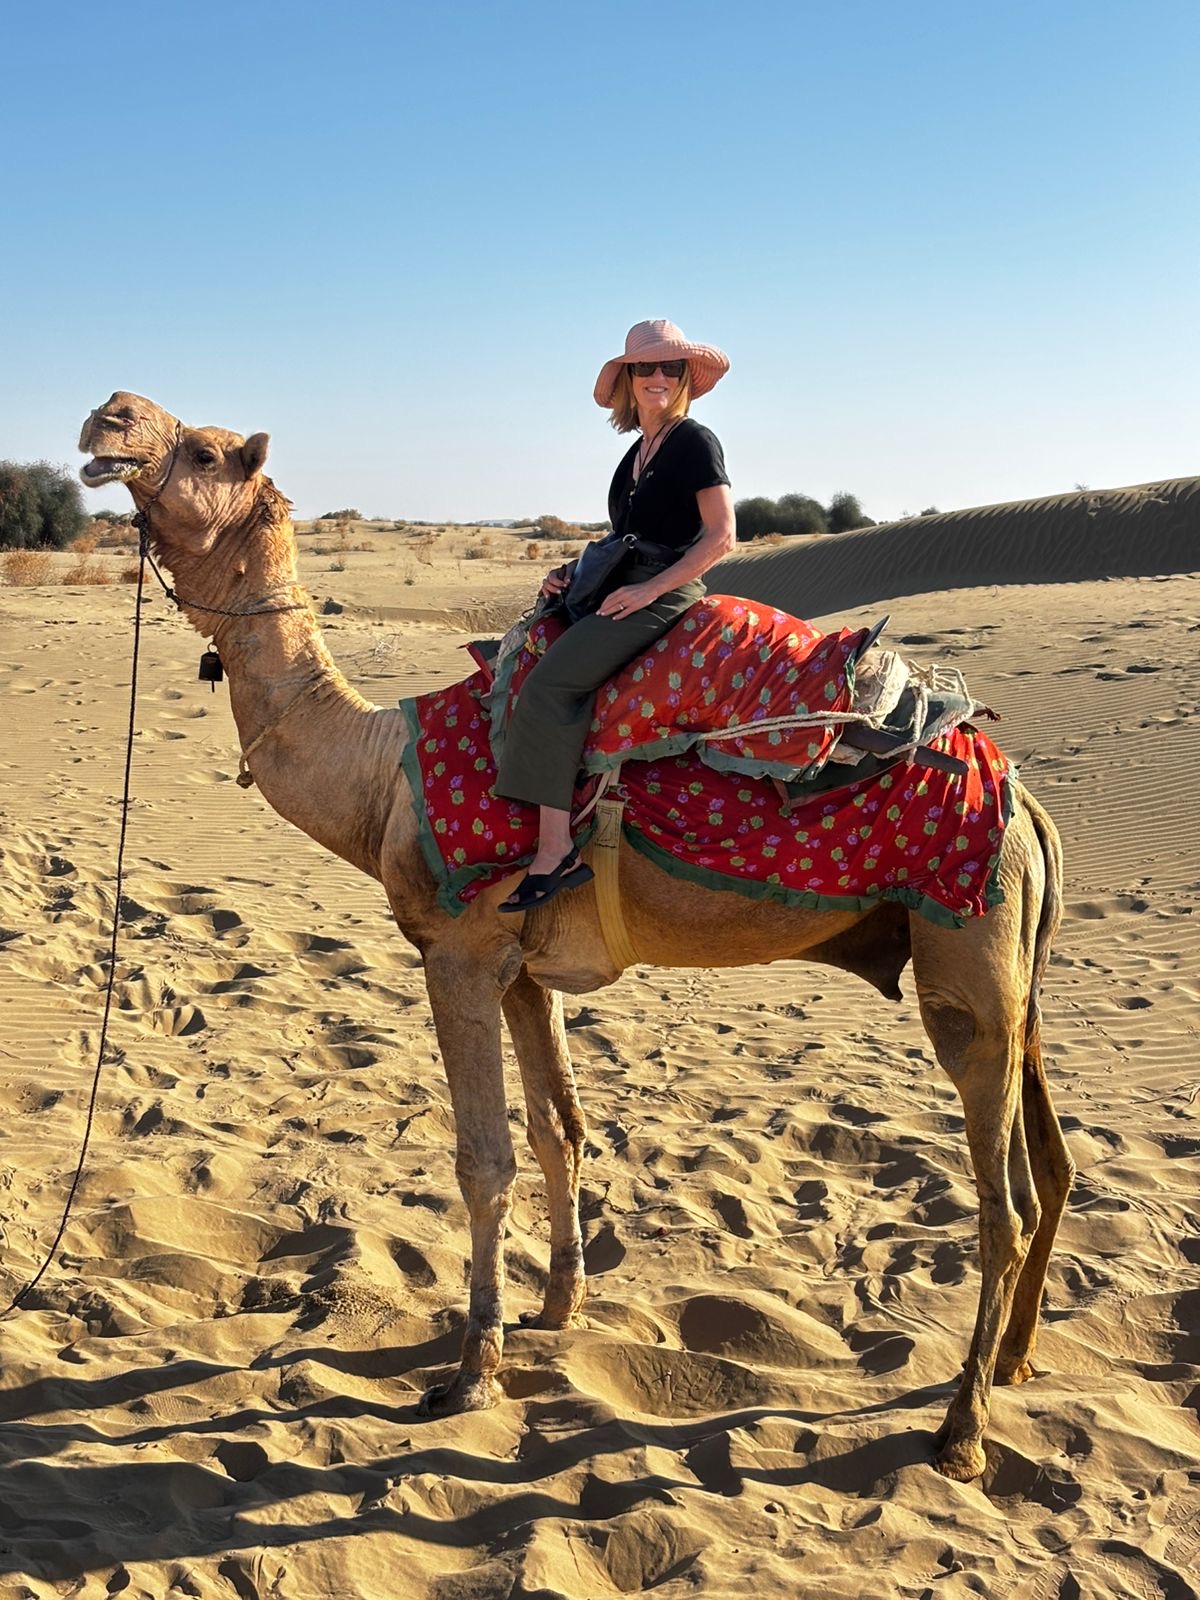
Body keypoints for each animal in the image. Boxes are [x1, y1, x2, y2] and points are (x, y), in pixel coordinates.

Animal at [78, 392, 1073, 1483]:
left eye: (207, 451)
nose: (107, 418)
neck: (383, 777)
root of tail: (1027, 806)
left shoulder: (459, 956)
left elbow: (483, 1162)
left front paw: (471, 1371)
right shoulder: (525, 970)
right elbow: (561, 1129)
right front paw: (559, 1308)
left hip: (966, 964)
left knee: (1003, 1200)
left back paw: (961, 1431)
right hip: (1012, 975)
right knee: (1051, 1167)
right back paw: (1016, 1363)